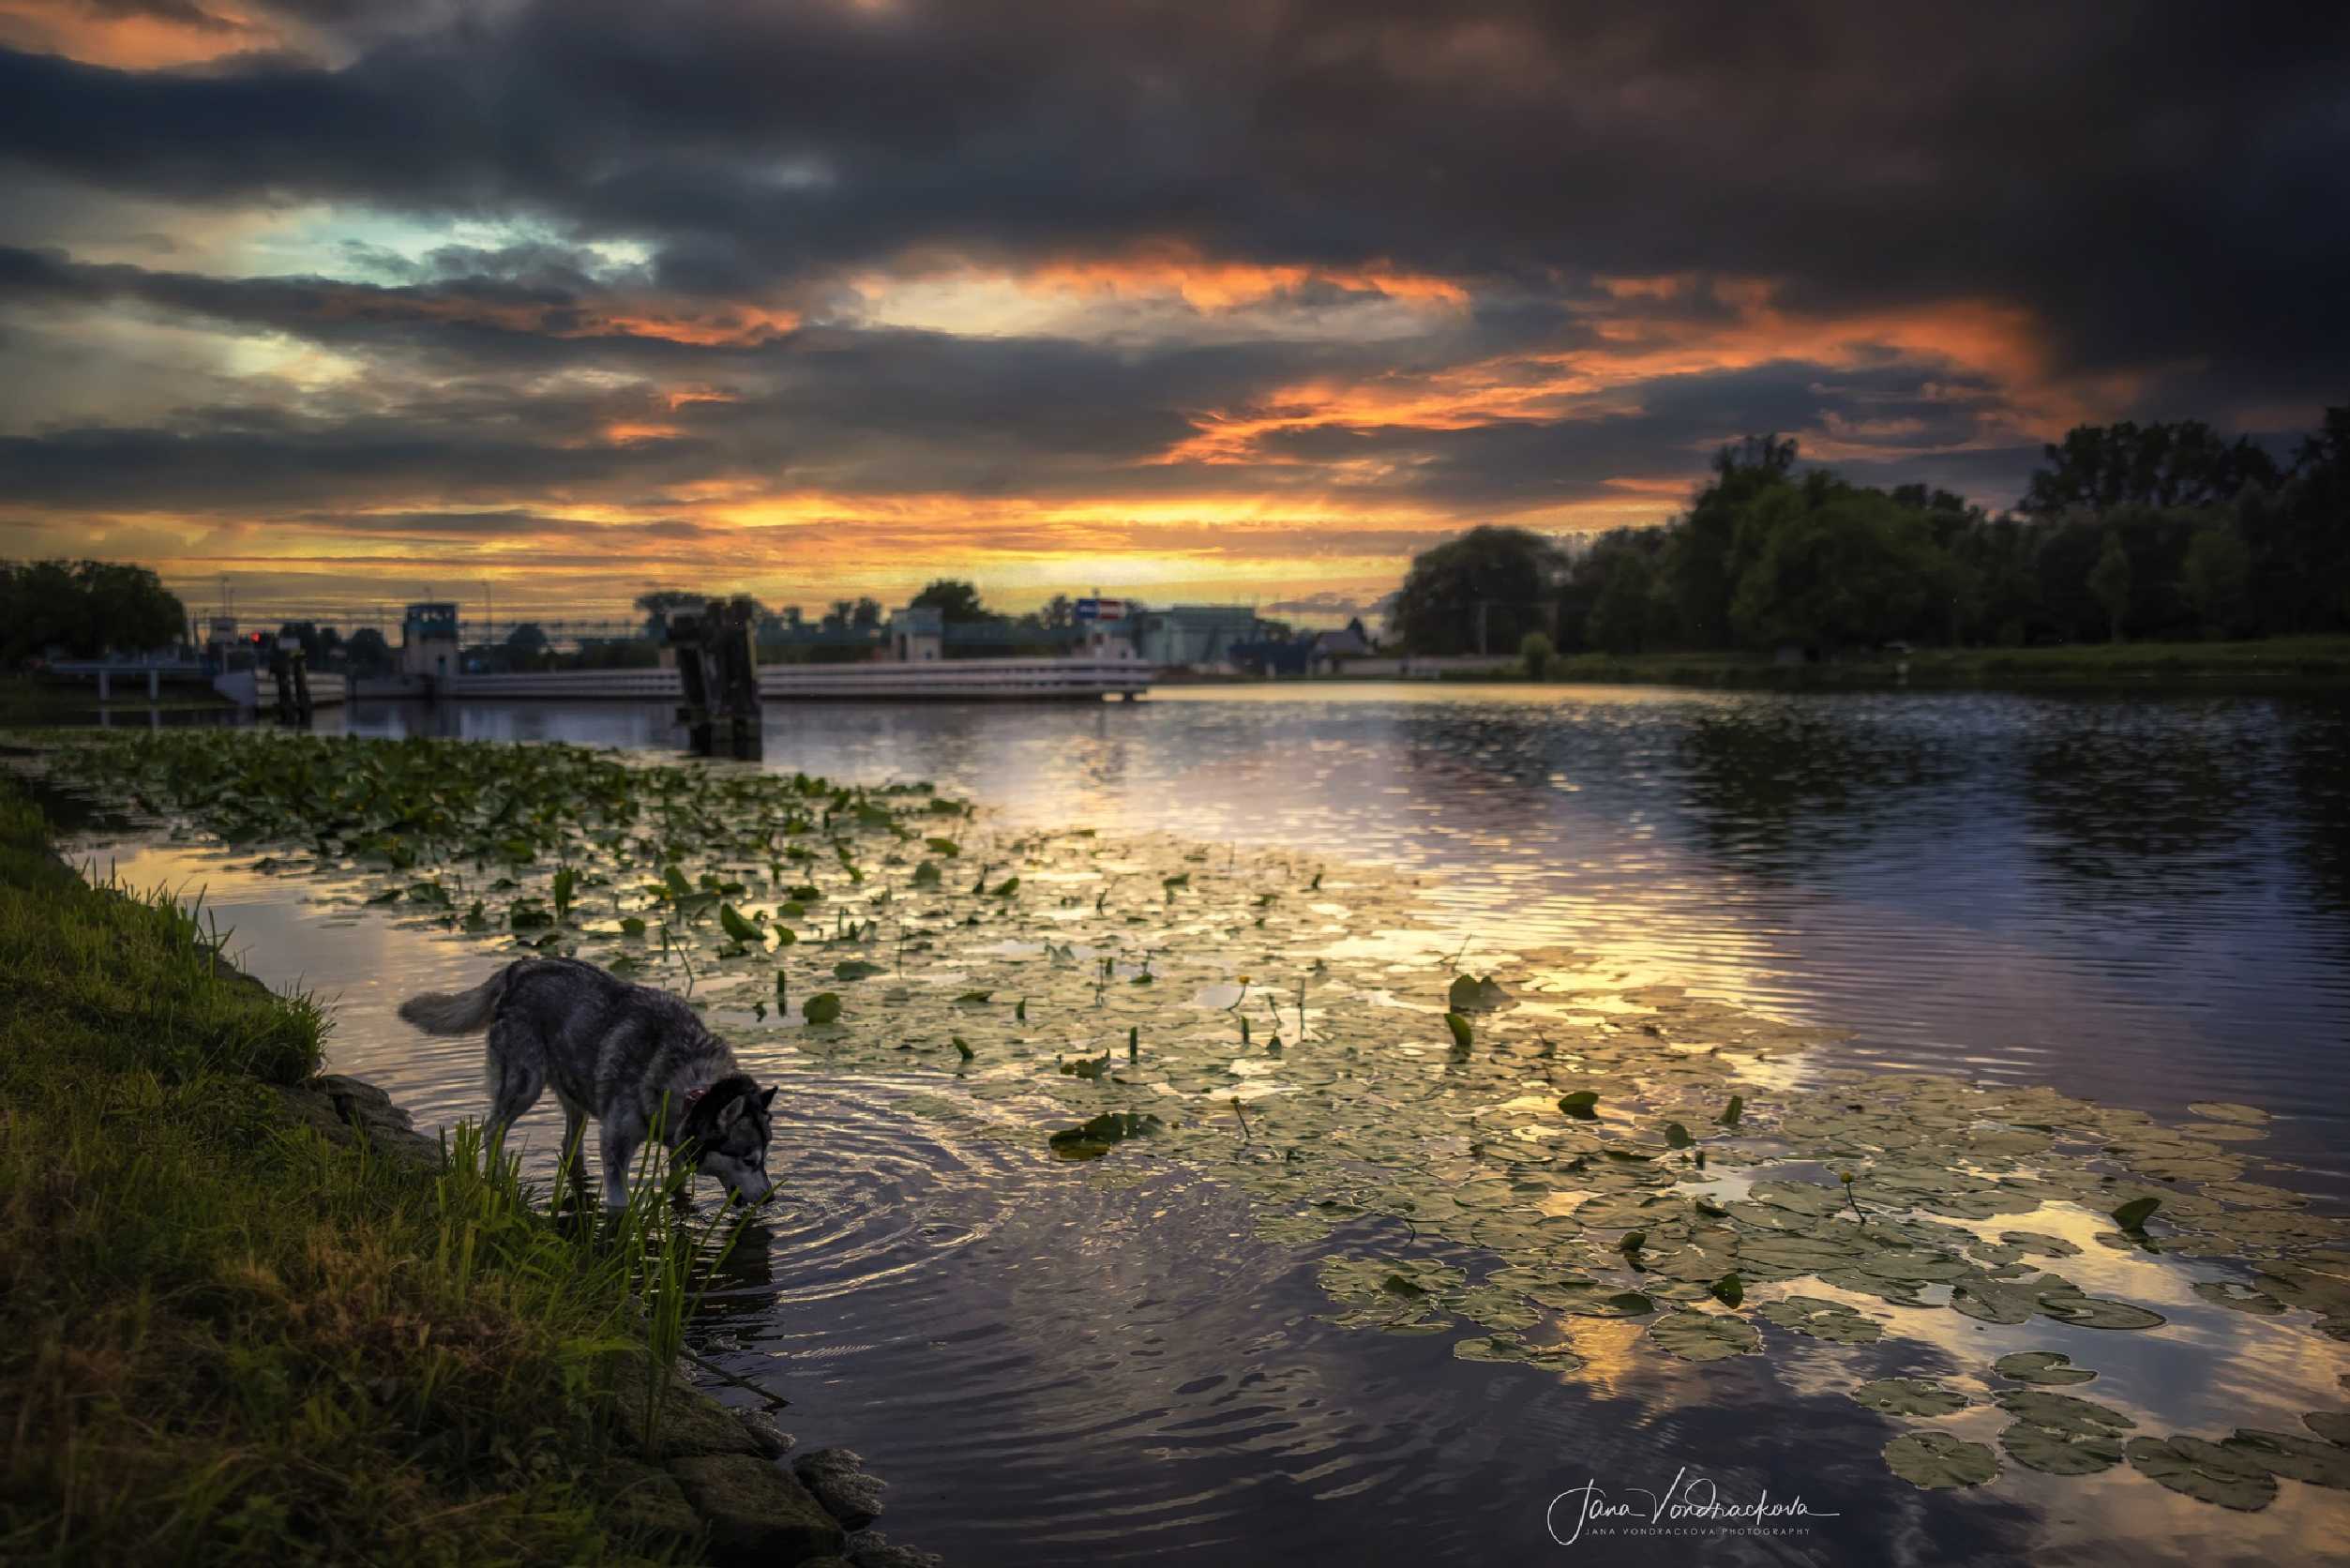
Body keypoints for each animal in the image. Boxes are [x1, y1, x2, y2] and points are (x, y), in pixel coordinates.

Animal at [399, 958, 775, 1213]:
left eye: (766, 1158)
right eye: (749, 1160)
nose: (772, 1198)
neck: (682, 1078)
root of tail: (519, 968)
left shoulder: (677, 1146)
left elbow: (677, 1186)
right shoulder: (615, 1143)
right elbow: (620, 1201)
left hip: (574, 1098)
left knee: (568, 1146)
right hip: (524, 1085)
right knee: (492, 1131)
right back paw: (498, 1178)